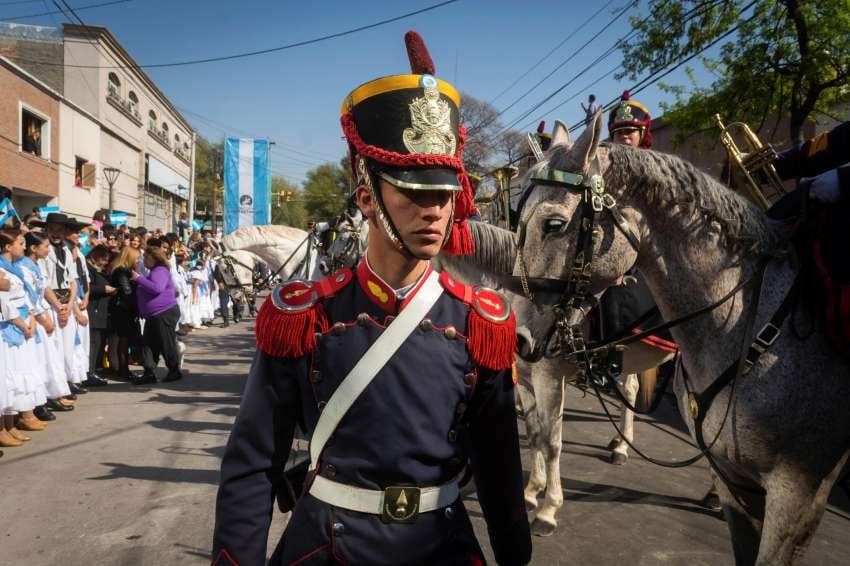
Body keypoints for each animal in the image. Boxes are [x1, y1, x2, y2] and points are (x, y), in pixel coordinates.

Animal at [510, 113, 848, 564]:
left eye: (554, 224)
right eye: (516, 217)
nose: (520, 338)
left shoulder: (800, 494)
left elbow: (550, 440)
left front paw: (546, 509)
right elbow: (536, 433)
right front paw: (533, 494)